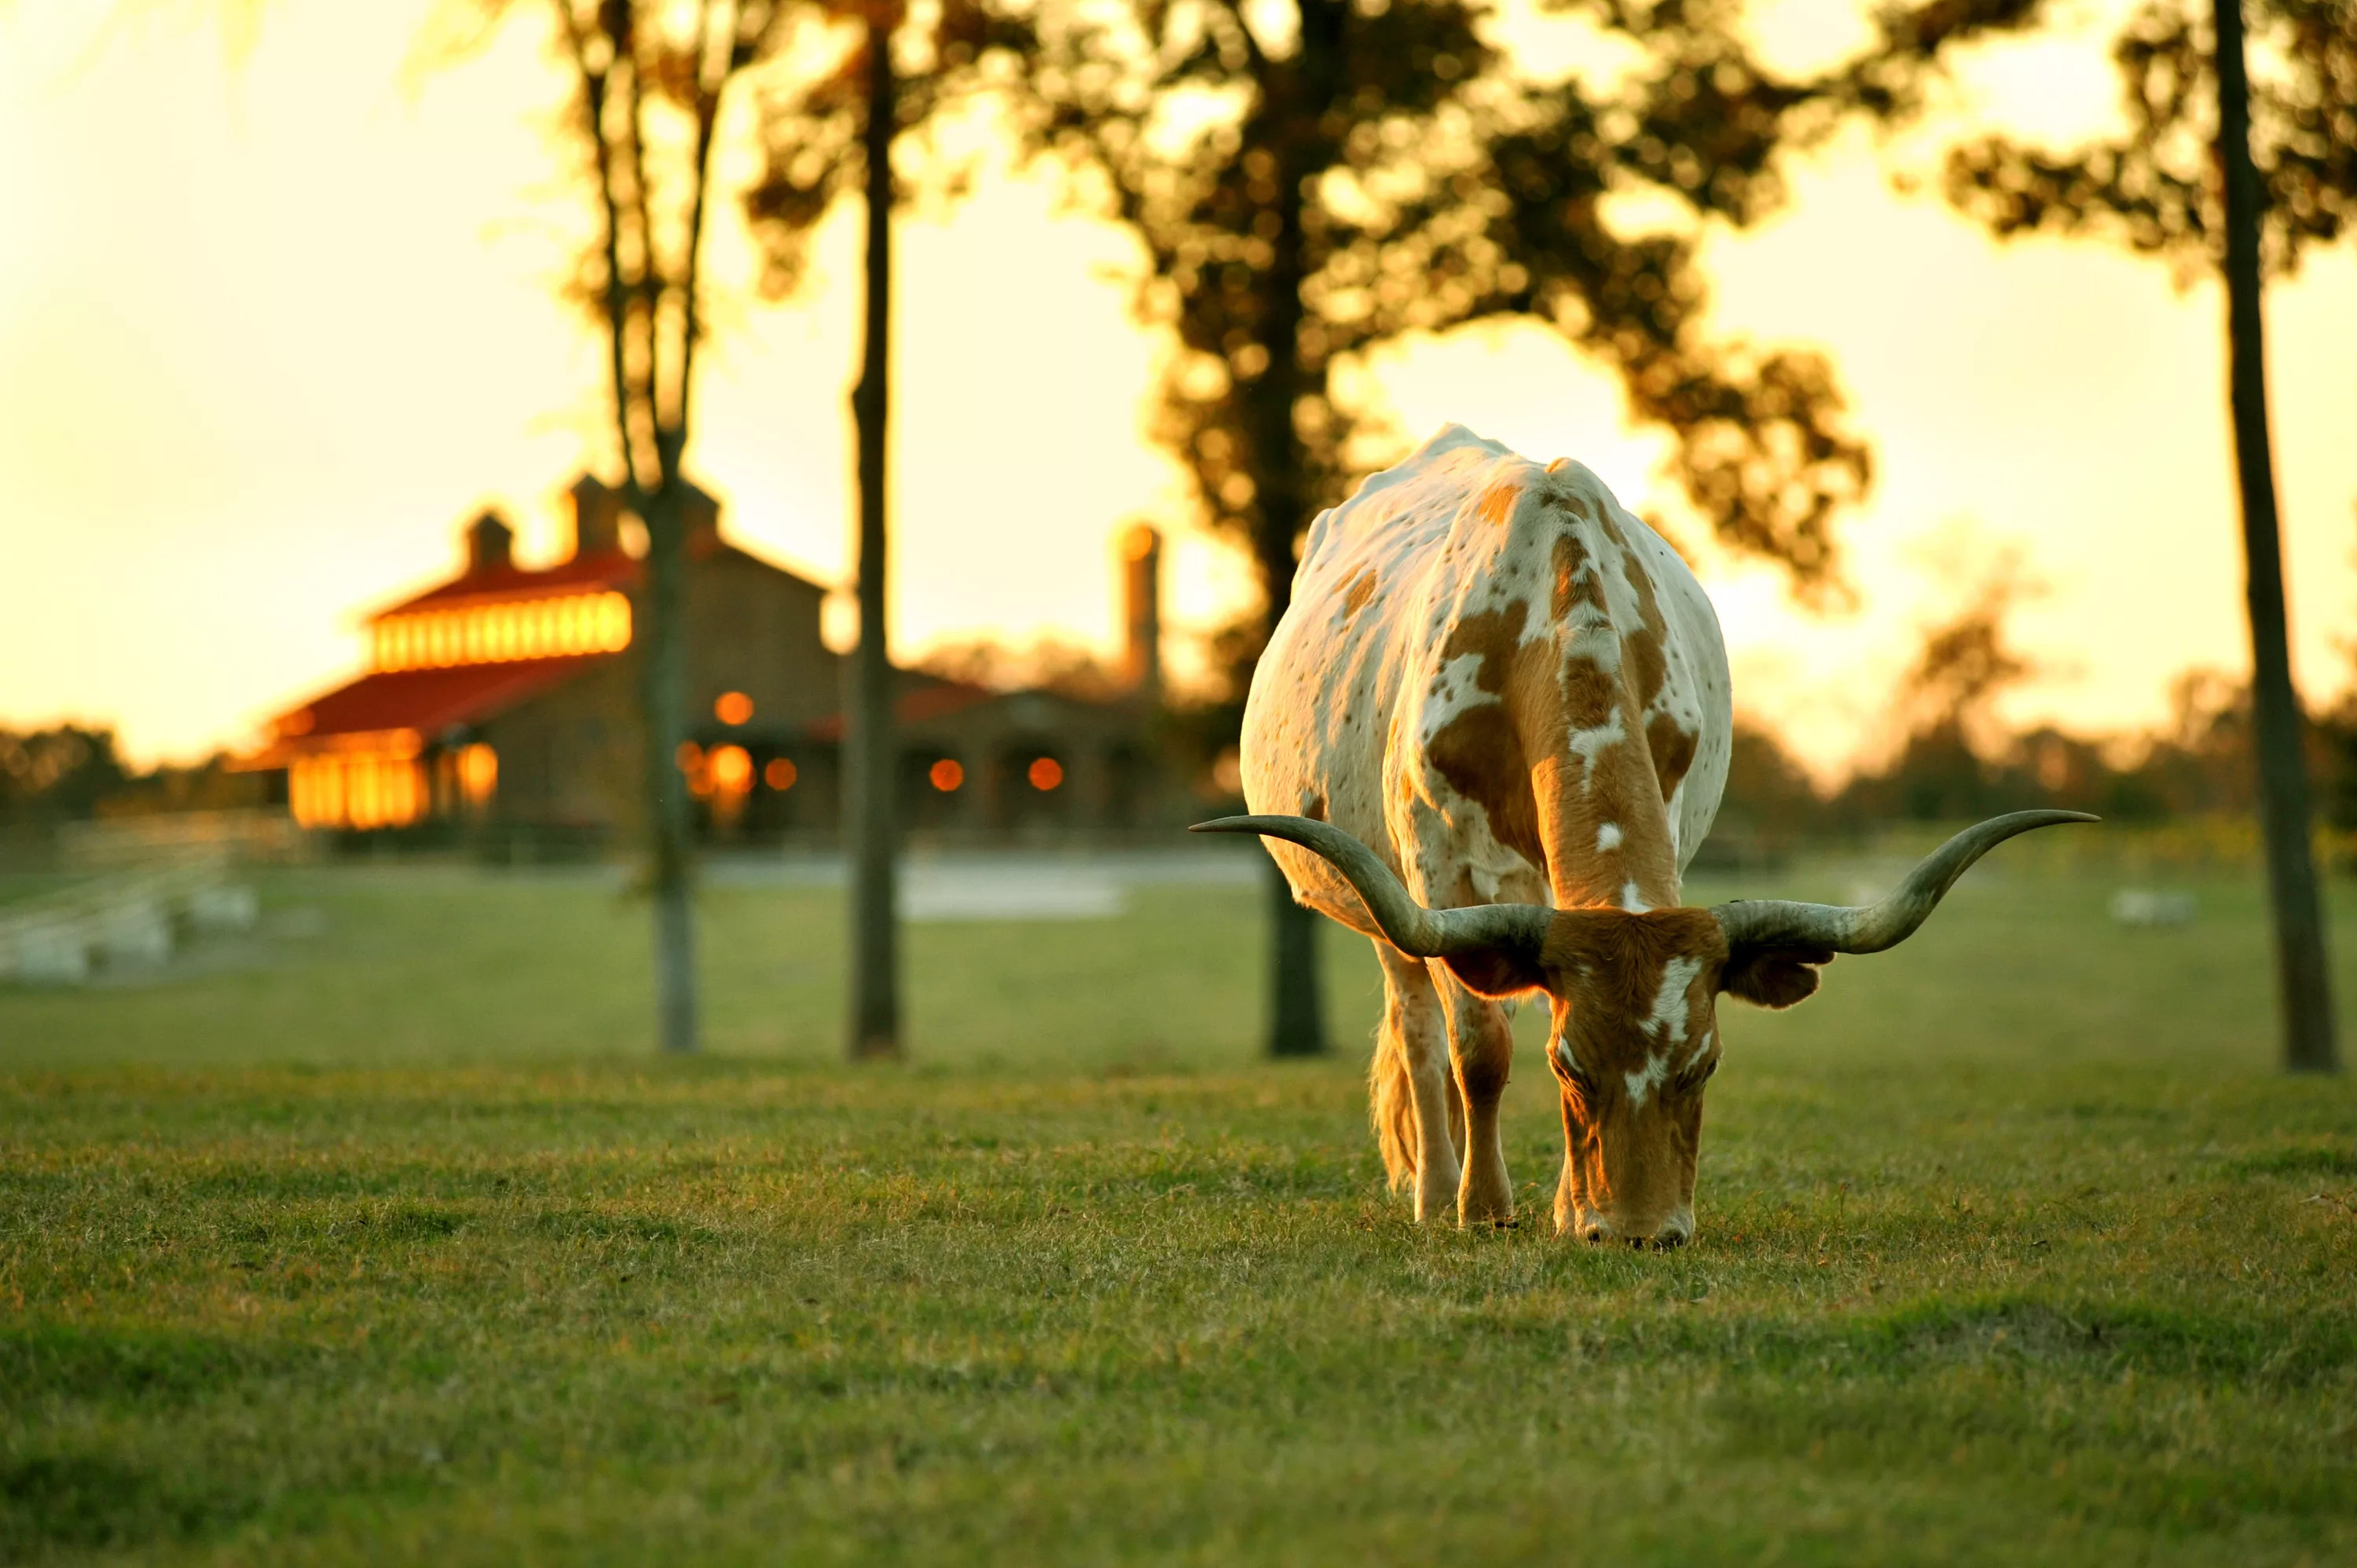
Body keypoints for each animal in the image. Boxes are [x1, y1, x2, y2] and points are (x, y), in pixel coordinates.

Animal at [1197, 422, 2084, 1244]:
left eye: (1706, 1064)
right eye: (1569, 1067)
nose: (1640, 1233)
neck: (1550, 617)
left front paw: (1564, 1209)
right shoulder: (1434, 872)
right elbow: (1479, 1049)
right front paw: (1483, 1209)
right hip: (1386, 911)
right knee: (1422, 1030)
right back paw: (1437, 1190)